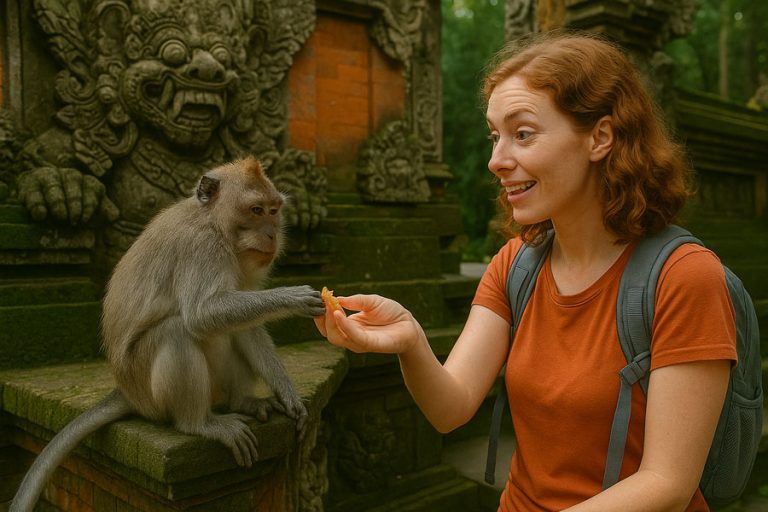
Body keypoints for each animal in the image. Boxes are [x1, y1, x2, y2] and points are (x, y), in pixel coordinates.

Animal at [10, 157, 325, 512]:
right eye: (256, 210)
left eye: (273, 210)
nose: (272, 235)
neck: (215, 223)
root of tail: (125, 390)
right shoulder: (202, 248)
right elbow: (202, 314)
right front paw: (294, 298)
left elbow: (245, 324)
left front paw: (288, 394)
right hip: (147, 389)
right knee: (177, 331)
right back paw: (200, 424)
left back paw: (241, 401)